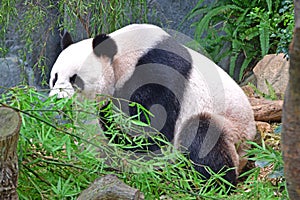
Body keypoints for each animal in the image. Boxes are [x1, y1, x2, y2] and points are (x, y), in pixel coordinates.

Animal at [48, 23, 255, 186]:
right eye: (54, 78)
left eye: (75, 79)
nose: (57, 99)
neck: (122, 56)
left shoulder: (156, 71)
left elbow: (153, 130)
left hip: (230, 126)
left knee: (203, 138)